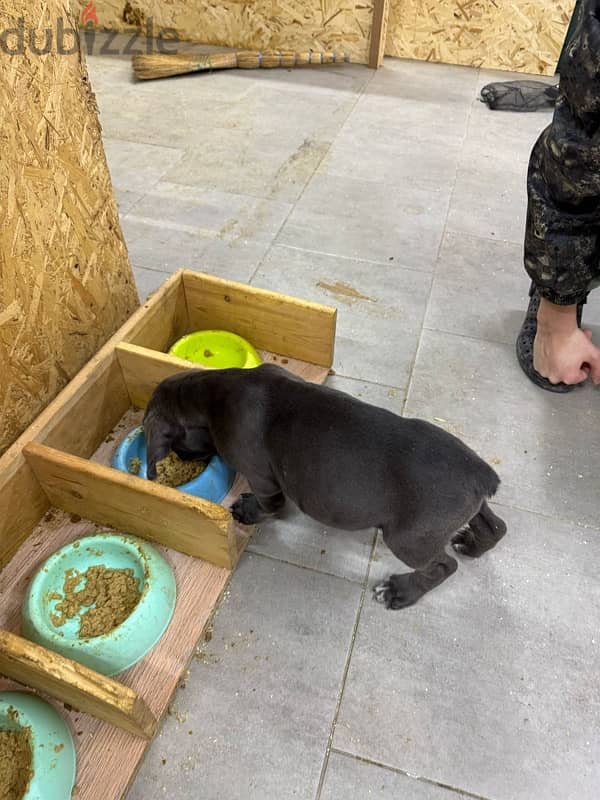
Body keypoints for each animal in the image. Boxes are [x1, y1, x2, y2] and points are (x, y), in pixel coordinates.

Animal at [145, 366, 506, 608]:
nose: (182, 456)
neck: (211, 393)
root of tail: (481, 473)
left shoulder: (263, 480)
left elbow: (269, 506)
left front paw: (247, 510)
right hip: (463, 512)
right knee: (495, 526)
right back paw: (471, 544)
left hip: (408, 539)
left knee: (443, 566)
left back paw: (401, 591)